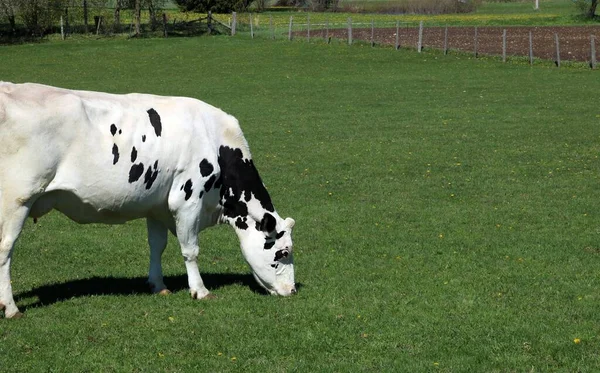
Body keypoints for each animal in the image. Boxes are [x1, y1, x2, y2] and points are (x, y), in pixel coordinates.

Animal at [0, 81, 296, 316]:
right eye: (283, 252)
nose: (292, 291)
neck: (216, 141)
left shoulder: (157, 206)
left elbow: (157, 246)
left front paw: (158, 285)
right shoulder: (188, 200)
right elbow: (190, 250)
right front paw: (200, 290)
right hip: (18, 200)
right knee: (5, 248)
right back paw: (11, 308)